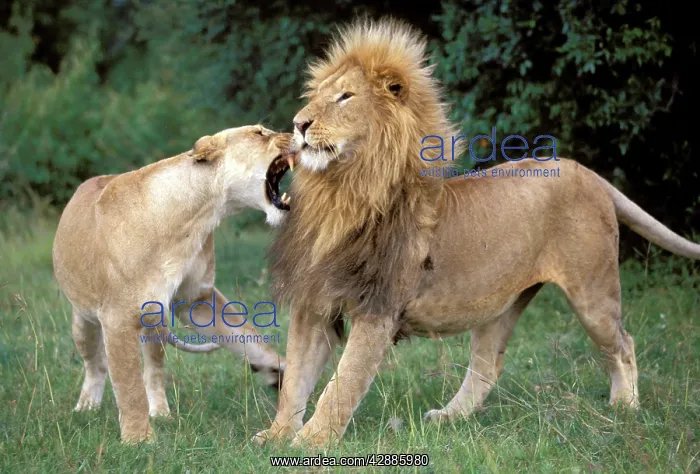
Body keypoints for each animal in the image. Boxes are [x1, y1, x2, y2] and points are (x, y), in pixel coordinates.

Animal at [53, 125, 297, 443]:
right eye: (259, 133)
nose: (297, 130)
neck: (194, 216)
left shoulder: (197, 297)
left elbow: (246, 335)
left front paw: (277, 368)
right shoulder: (116, 318)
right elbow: (128, 386)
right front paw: (139, 441)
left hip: (155, 320)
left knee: (153, 368)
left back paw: (160, 412)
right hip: (83, 321)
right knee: (95, 364)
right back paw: (87, 406)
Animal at [252, 18, 700, 448]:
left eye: (345, 97)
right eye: (316, 96)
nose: (299, 124)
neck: (342, 191)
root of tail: (586, 171)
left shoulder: (377, 307)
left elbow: (342, 383)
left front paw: (311, 443)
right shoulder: (315, 303)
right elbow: (295, 379)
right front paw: (275, 437)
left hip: (593, 292)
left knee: (623, 344)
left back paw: (625, 407)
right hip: (500, 303)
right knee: (488, 365)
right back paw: (449, 417)